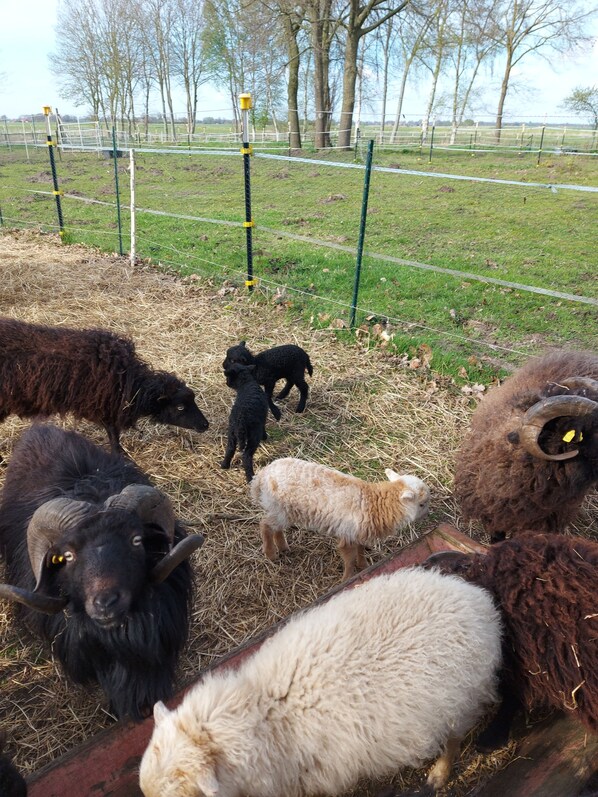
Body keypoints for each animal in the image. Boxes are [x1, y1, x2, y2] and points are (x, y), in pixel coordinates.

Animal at [0, 316, 209, 453]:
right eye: (180, 407)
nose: (205, 425)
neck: (130, 381)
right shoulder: (106, 403)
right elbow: (113, 432)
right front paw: (120, 453)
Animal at [250, 457, 430, 580]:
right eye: (422, 504)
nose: (428, 514)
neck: (375, 504)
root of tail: (263, 474)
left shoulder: (359, 533)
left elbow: (360, 550)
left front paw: (364, 565)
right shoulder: (348, 535)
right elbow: (349, 559)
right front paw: (348, 578)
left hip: (282, 510)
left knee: (276, 528)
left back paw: (283, 547)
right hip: (279, 508)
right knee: (265, 525)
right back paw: (271, 554)